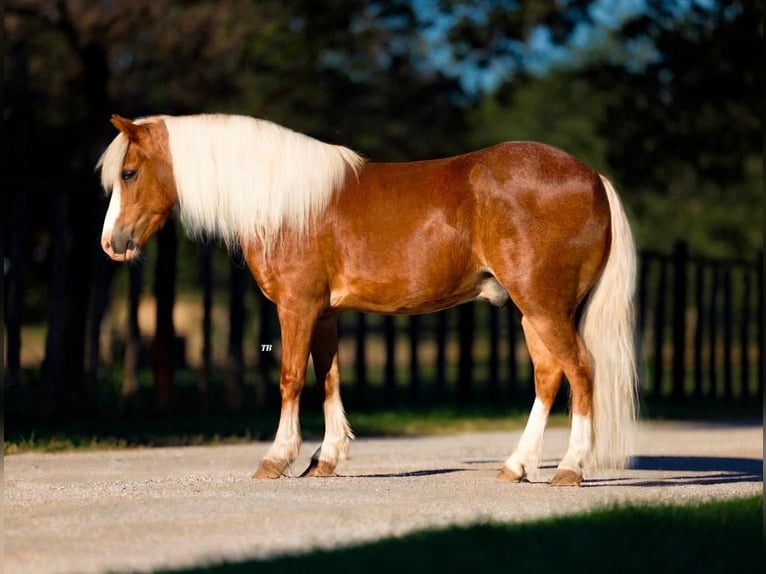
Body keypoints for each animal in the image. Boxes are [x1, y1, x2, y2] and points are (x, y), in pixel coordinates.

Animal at [99, 113, 640, 486]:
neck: (285, 204)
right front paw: (325, 459)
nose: (111, 243)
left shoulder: (296, 307)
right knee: (549, 377)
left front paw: (277, 458)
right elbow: (328, 379)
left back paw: (569, 468)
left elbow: (291, 378)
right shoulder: (325, 313)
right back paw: (517, 465)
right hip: (534, 311)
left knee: (581, 371)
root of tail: (593, 178)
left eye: (129, 173)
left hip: (545, 308)